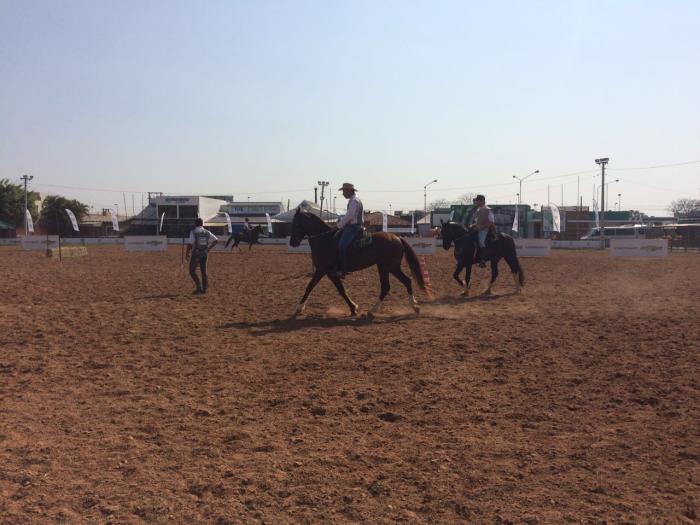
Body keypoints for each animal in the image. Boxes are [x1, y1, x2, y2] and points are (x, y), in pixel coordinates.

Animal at [288, 208, 430, 316]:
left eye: (296, 224)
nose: (292, 242)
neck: (324, 239)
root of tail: (397, 237)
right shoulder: (327, 272)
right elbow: (340, 290)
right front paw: (353, 308)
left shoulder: (323, 270)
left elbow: (313, 287)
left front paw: (299, 308)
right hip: (390, 267)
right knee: (404, 282)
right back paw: (414, 307)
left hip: (386, 266)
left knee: (388, 286)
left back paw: (373, 310)